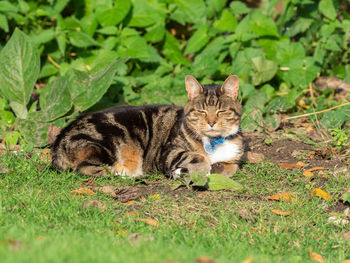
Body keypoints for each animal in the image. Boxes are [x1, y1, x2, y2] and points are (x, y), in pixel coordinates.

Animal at [52, 75, 243, 178]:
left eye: (221, 111)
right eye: (201, 111)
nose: (211, 122)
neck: (213, 142)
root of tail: (58, 143)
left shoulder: (234, 159)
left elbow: (231, 167)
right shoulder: (166, 152)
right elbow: (198, 158)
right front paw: (199, 169)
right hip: (106, 142)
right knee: (85, 168)